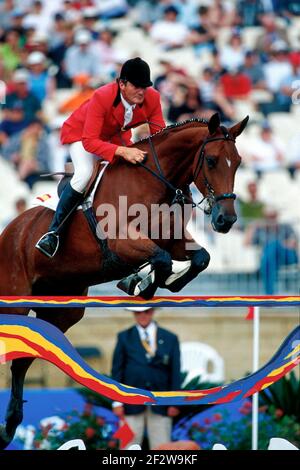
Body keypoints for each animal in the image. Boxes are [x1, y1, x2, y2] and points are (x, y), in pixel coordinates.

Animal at [0, 111, 248, 448]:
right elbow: (161, 259)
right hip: (14, 301)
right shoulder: (122, 242)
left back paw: (11, 425)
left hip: (63, 309)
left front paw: (154, 283)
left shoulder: (173, 240)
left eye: (237, 162)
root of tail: (11, 231)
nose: (226, 220)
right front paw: (142, 282)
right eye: (210, 160)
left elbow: (198, 258)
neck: (154, 182)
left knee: (23, 358)